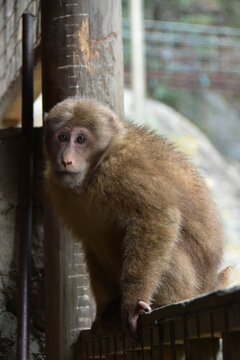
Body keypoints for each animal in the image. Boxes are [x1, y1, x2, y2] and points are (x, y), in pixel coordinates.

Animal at [43, 97, 227, 338]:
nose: (66, 160)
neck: (97, 169)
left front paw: (132, 303)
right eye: (62, 137)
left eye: (81, 140)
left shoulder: (125, 171)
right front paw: (104, 310)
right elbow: (91, 244)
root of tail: (210, 283)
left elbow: (157, 217)